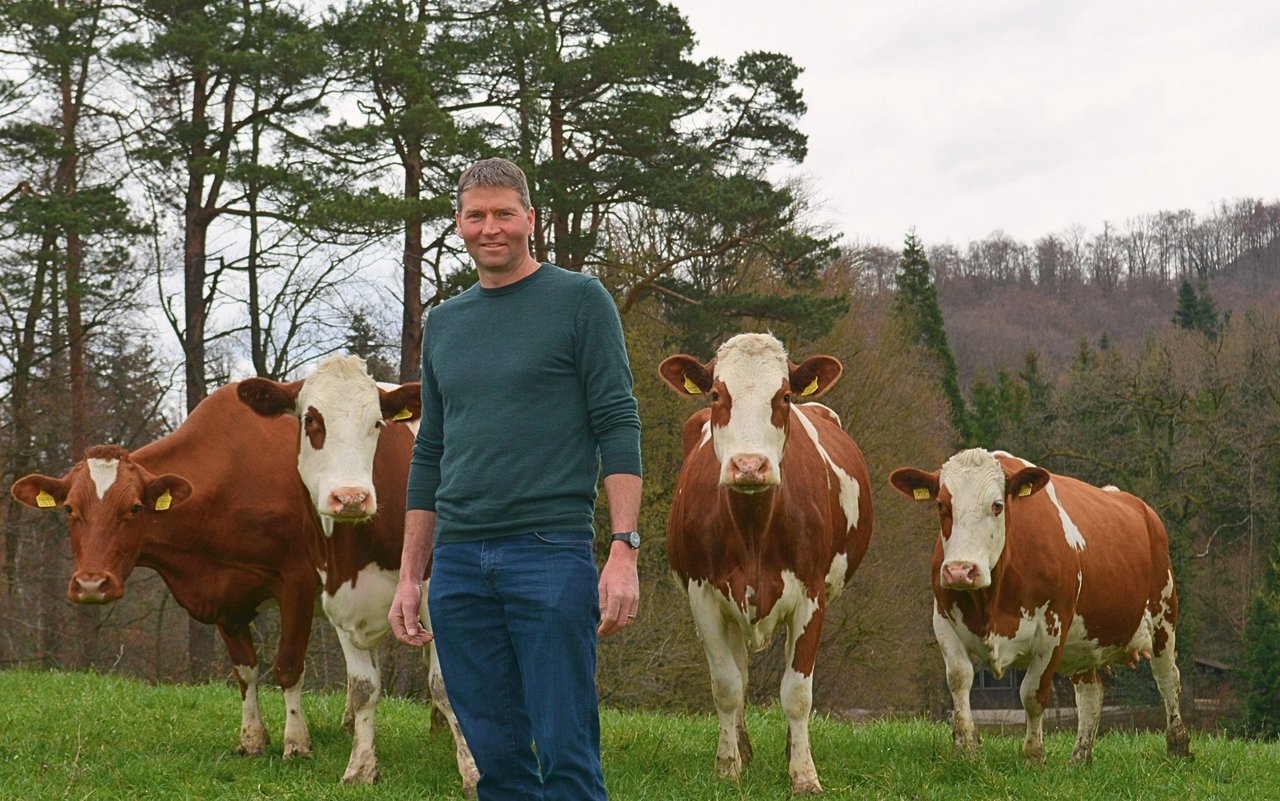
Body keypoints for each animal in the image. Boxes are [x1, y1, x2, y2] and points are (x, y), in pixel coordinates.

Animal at [235, 355, 476, 788]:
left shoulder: (433, 587)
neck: (355, 551)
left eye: (377, 423)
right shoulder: (339, 600)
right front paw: (361, 767)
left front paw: (473, 773)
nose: (351, 498)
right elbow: (364, 688)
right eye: (311, 419)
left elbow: (447, 684)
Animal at [655, 332, 875, 793]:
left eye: (785, 396)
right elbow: (726, 686)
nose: (750, 466)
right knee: (739, 673)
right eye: (717, 394)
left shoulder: (811, 597)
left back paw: (790, 747)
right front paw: (727, 767)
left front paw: (804, 774)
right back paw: (743, 748)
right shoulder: (703, 597)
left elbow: (797, 692)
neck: (753, 525)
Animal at [885, 445, 1192, 762]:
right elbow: (959, 678)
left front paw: (1033, 755)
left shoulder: (1053, 628)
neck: (991, 604)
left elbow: (1032, 694)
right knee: (1091, 694)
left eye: (997, 505)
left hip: (1164, 616)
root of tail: (1141, 508)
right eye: (941, 505)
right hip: (1084, 642)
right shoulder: (943, 620)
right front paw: (966, 749)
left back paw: (1178, 746)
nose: (960, 570)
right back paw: (1079, 758)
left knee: (1168, 678)